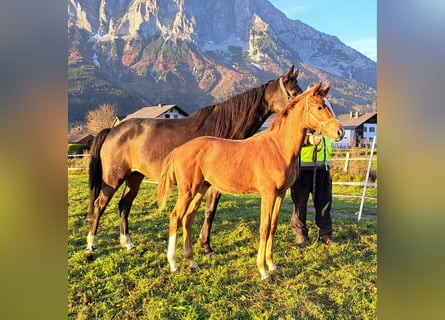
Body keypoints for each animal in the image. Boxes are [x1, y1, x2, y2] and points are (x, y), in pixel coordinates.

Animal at [86, 65, 302, 250]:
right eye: (294, 94)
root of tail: (113, 130)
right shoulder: (213, 185)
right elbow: (209, 212)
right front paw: (206, 246)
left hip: (134, 177)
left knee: (124, 205)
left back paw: (127, 243)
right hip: (113, 178)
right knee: (99, 205)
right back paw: (91, 245)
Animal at [158, 82, 346, 282]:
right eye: (319, 107)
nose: (340, 132)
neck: (277, 148)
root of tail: (179, 149)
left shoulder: (280, 194)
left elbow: (273, 227)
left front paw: (272, 265)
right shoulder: (268, 194)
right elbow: (264, 228)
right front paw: (263, 271)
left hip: (201, 188)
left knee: (188, 218)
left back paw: (192, 261)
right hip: (187, 191)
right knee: (175, 217)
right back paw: (173, 264)